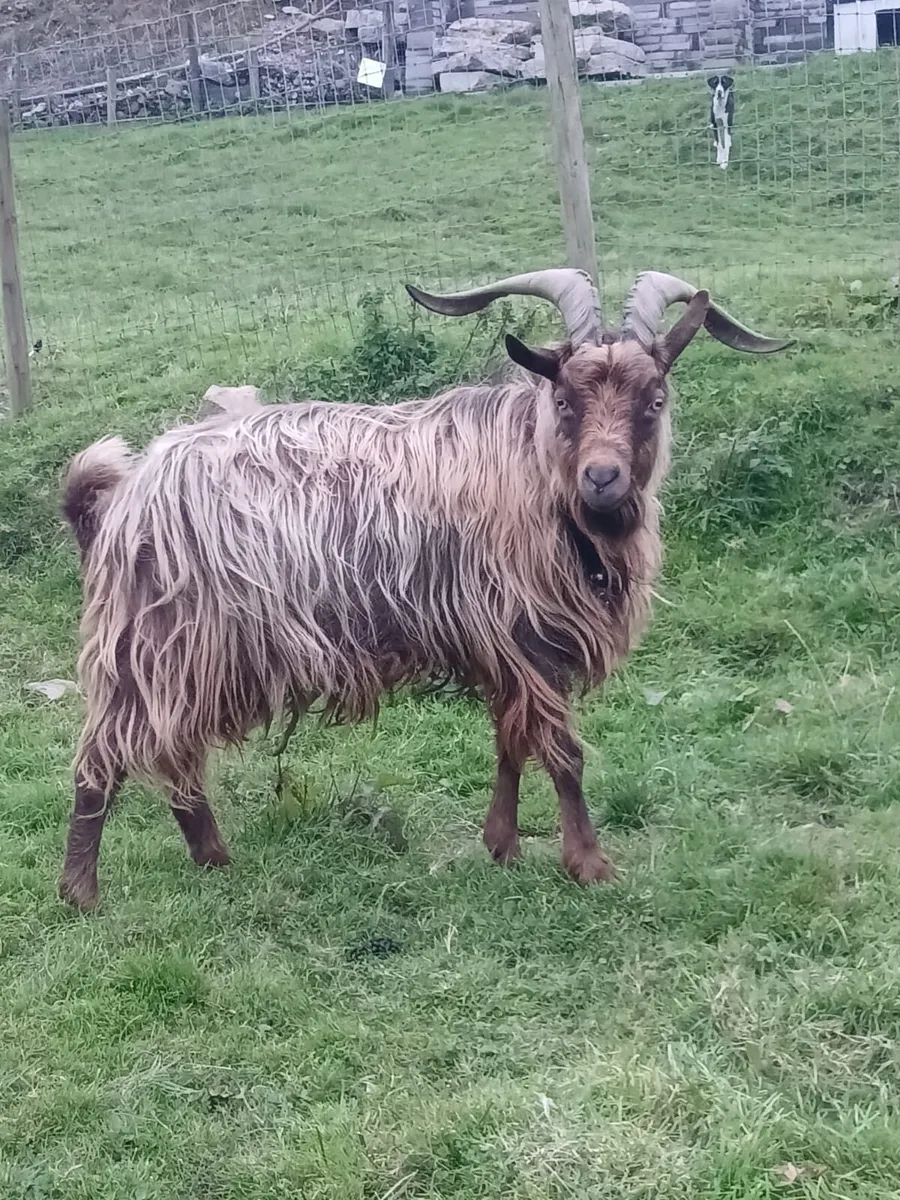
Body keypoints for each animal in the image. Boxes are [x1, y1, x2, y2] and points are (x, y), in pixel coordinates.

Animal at [58, 268, 791, 910]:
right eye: (565, 400)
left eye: (654, 400)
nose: (603, 478)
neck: (529, 467)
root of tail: (121, 496)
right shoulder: (526, 638)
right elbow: (564, 754)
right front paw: (589, 864)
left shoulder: (505, 648)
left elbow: (509, 743)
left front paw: (501, 846)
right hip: (153, 645)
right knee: (103, 757)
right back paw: (81, 893)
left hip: (192, 657)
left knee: (176, 759)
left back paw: (213, 860)